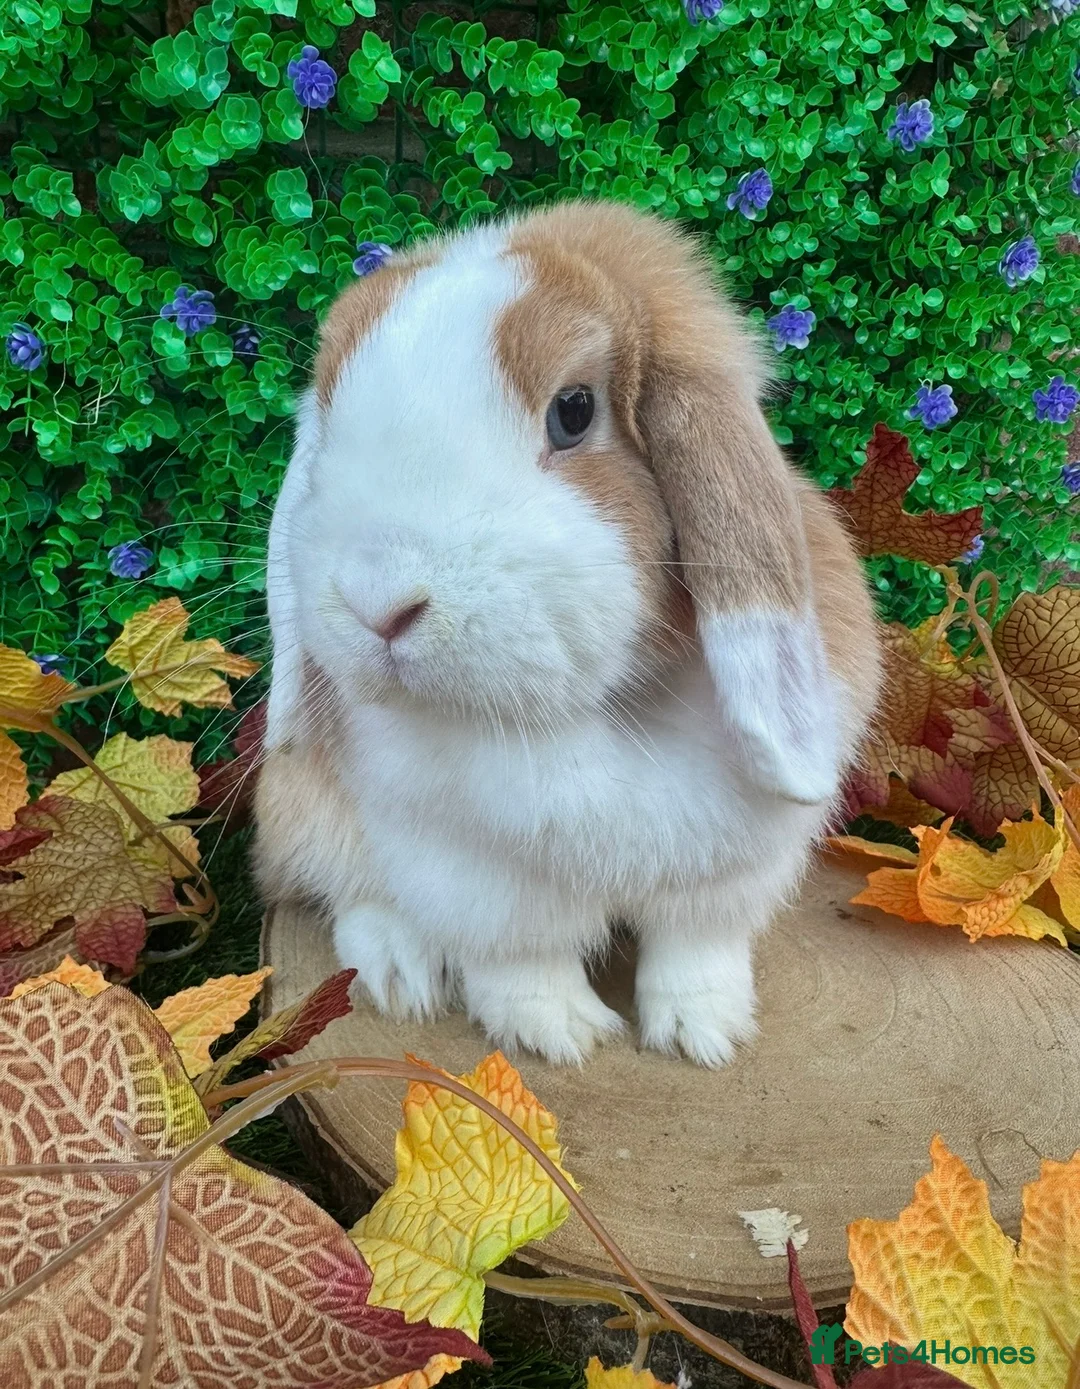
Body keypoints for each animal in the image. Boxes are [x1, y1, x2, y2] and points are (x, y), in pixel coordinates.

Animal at [253, 200, 882, 1068]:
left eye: (574, 410)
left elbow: (697, 950)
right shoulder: (476, 878)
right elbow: (521, 960)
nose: (378, 602)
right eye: (329, 421)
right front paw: (561, 1034)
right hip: (304, 808)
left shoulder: (726, 876)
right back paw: (401, 972)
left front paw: (705, 1034)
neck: (605, 711)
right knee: (349, 891)